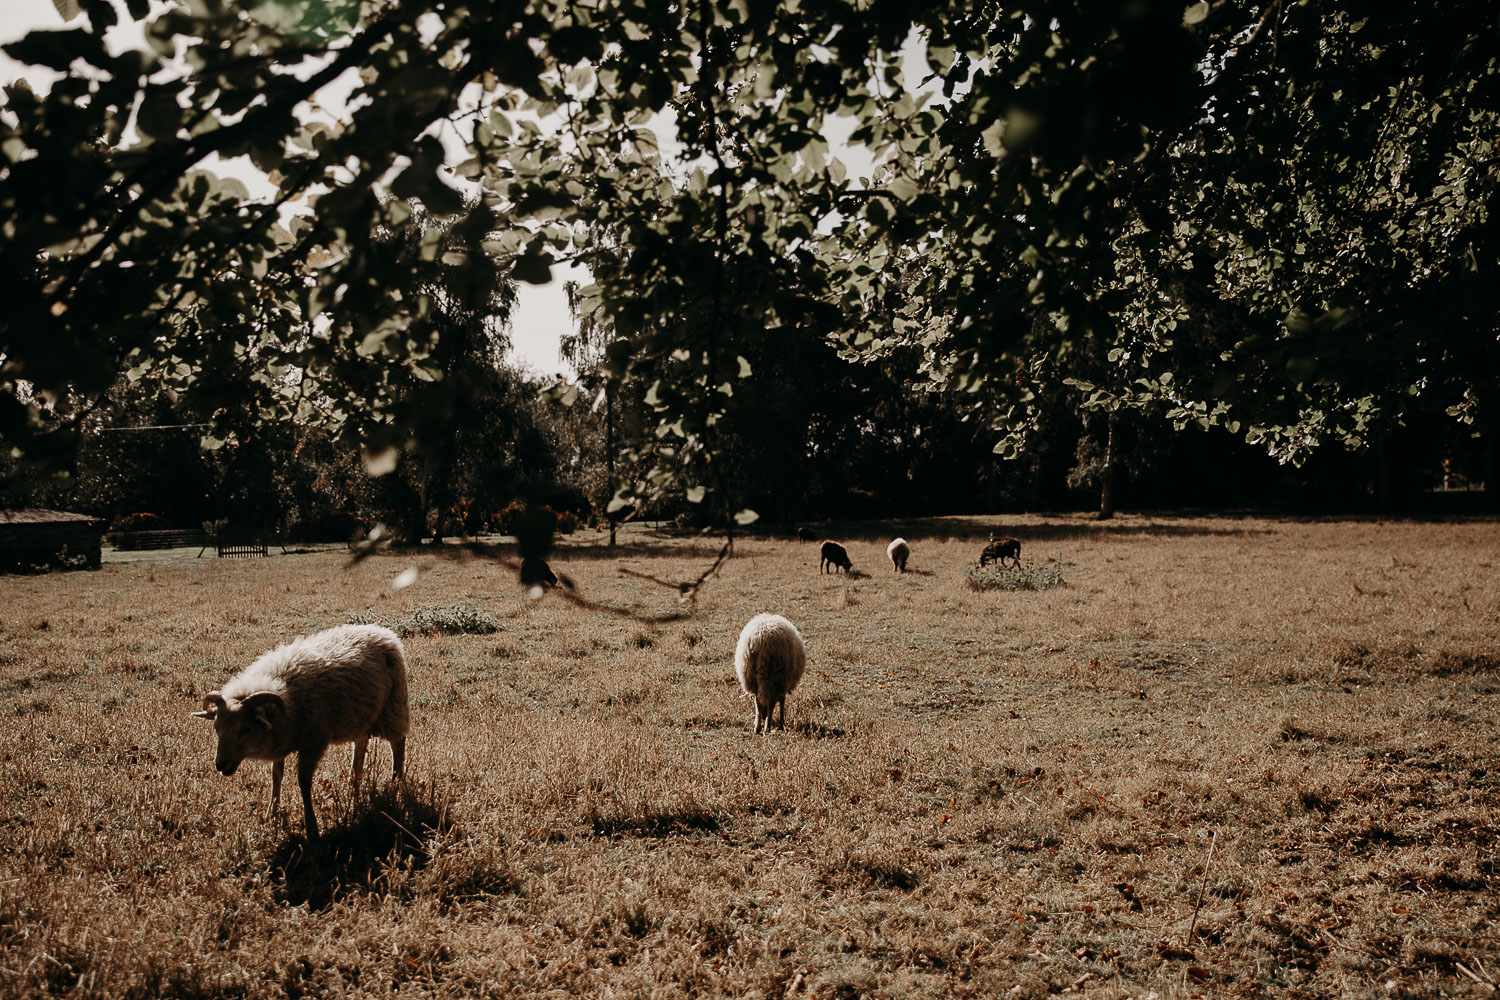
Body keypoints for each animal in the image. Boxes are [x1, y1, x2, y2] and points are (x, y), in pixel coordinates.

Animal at [192, 620, 411, 839]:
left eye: (245, 729)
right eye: (217, 728)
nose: (220, 764)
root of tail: (380, 630)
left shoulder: (313, 741)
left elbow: (303, 781)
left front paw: (311, 825)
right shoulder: (282, 738)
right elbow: (276, 775)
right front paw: (272, 812)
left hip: (392, 706)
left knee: (398, 744)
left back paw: (396, 784)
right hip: (361, 715)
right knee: (361, 744)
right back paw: (354, 784)